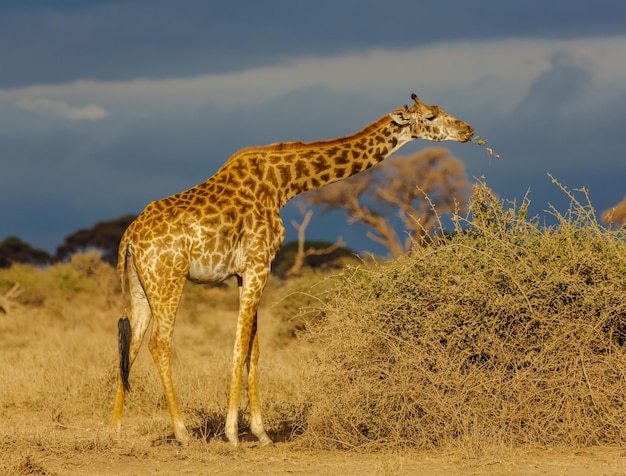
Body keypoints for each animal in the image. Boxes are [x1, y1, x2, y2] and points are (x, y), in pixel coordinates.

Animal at [111, 92, 472, 446]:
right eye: (431, 117)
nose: (467, 129)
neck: (283, 184)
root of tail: (130, 237)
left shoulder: (245, 272)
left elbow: (253, 350)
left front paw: (260, 433)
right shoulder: (259, 264)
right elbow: (240, 347)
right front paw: (232, 434)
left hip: (142, 285)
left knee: (131, 341)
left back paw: (114, 430)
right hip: (168, 278)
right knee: (159, 343)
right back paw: (182, 433)